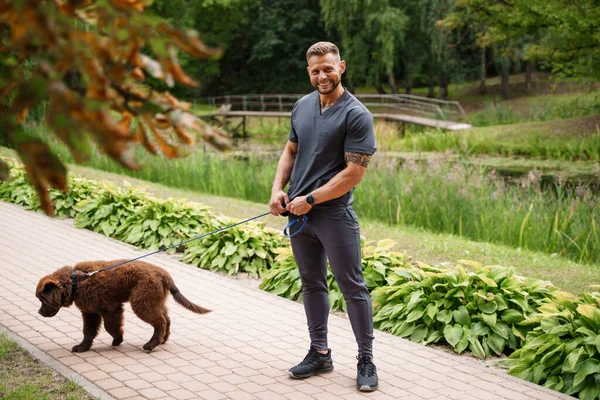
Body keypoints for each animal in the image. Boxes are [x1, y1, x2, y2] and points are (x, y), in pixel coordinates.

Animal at [36, 260, 211, 352]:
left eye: (42, 300)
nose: (39, 312)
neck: (76, 282)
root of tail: (164, 275)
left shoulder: (110, 307)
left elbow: (110, 326)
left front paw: (118, 339)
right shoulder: (90, 311)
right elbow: (88, 331)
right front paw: (82, 347)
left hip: (142, 300)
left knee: (160, 321)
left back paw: (151, 344)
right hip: (154, 299)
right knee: (166, 317)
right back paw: (162, 339)